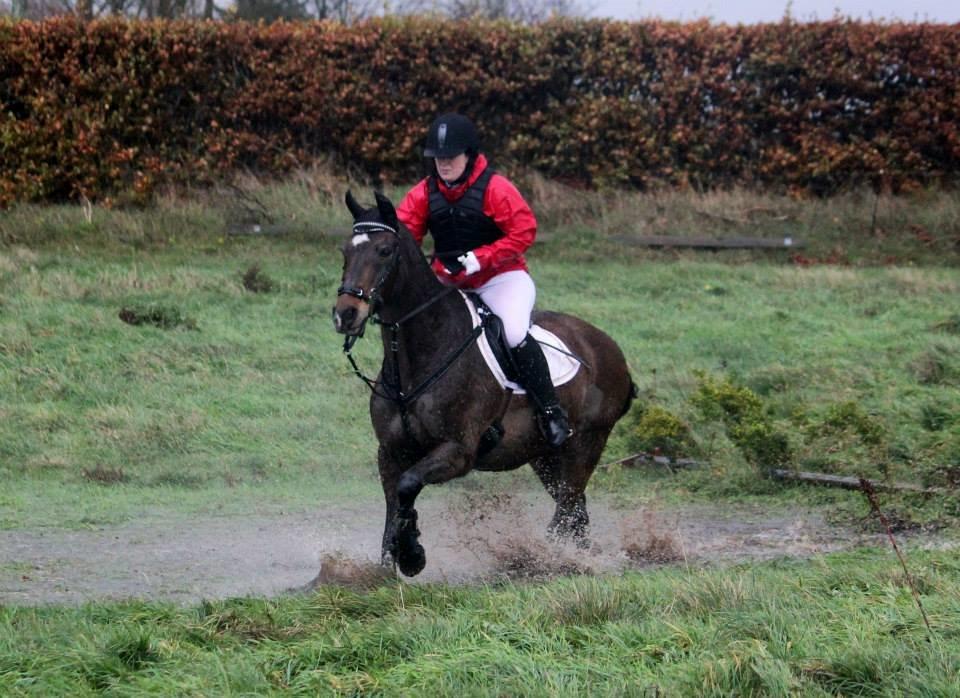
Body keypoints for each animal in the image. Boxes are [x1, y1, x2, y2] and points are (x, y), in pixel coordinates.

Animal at [332, 190, 636, 576]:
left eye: (384, 250)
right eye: (345, 251)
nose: (346, 314)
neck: (420, 355)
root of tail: (610, 348)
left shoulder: (458, 451)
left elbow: (407, 486)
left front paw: (413, 554)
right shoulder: (390, 451)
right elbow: (394, 503)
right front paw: (389, 566)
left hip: (585, 445)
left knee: (568, 508)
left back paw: (551, 557)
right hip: (544, 457)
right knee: (575, 511)